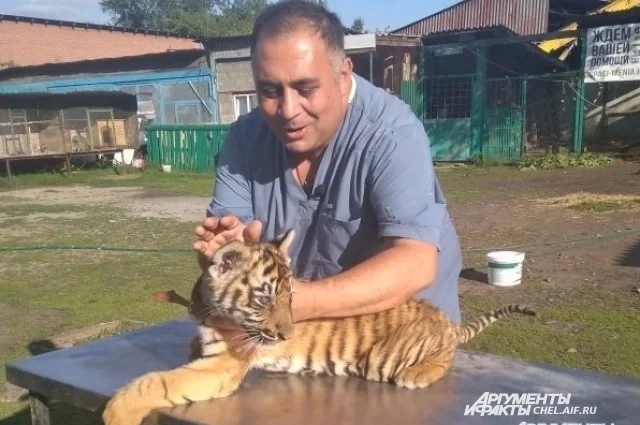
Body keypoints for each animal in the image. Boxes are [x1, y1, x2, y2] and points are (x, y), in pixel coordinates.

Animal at [102, 228, 536, 425]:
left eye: (290, 298)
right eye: (265, 299)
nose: (287, 335)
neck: (211, 308)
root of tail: (443, 319)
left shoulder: (222, 367)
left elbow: (157, 382)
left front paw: (117, 412)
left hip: (387, 357)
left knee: (445, 359)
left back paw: (417, 374)